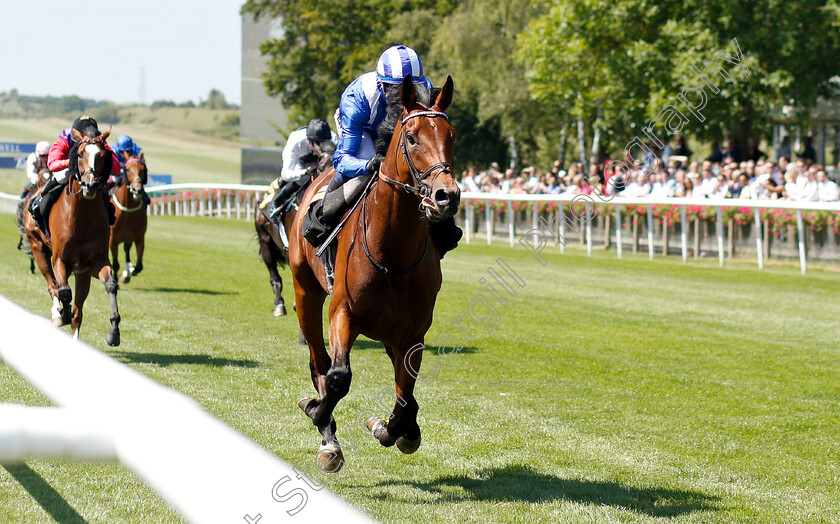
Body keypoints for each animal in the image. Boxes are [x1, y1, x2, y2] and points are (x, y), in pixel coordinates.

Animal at [24, 129, 121, 346]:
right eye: (80, 154)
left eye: (103, 155)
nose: (90, 185)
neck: (82, 217)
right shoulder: (60, 259)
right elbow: (64, 292)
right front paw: (63, 314)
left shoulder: (95, 262)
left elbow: (111, 285)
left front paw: (113, 332)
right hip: (38, 248)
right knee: (53, 287)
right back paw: (57, 314)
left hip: (81, 272)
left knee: (78, 310)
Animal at [288, 75, 460, 472]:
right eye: (411, 136)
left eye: (451, 134)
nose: (446, 195)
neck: (391, 252)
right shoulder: (343, 312)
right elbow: (337, 378)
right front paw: (319, 417)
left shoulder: (413, 332)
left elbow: (406, 397)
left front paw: (391, 428)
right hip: (306, 291)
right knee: (319, 363)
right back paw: (327, 434)